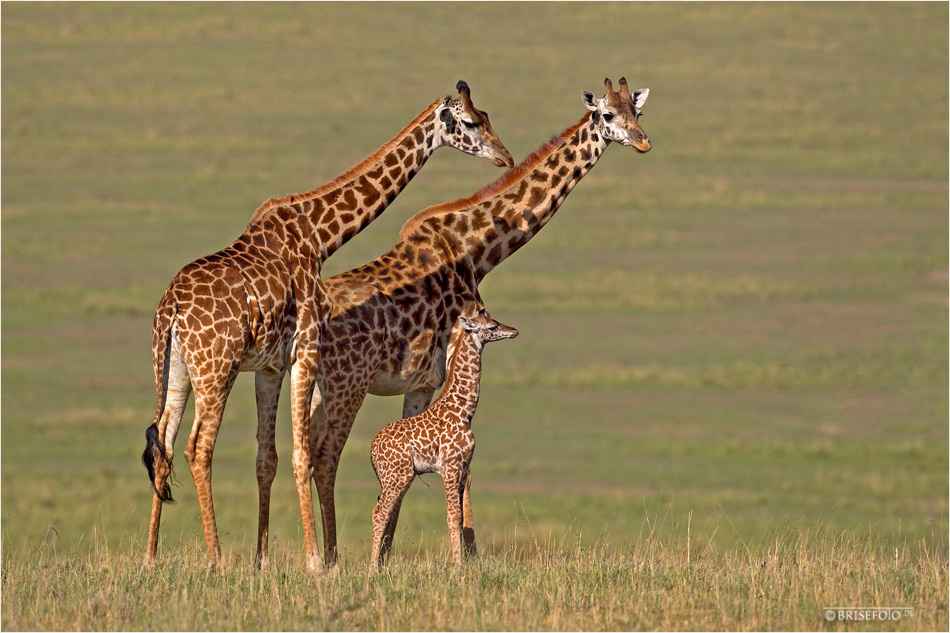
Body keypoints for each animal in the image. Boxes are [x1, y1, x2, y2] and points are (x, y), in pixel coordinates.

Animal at [368, 302, 516, 568]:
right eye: (492, 326)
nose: (513, 331)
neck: (464, 410)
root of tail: (372, 451)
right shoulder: (450, 466)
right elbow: (453, 516)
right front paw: (458, 566)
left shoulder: (464, 468)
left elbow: (463, 519)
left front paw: (463, 562)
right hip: (398, 476)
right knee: (379, 512)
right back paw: (373, 568)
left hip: (394, 478)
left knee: (384, 511)